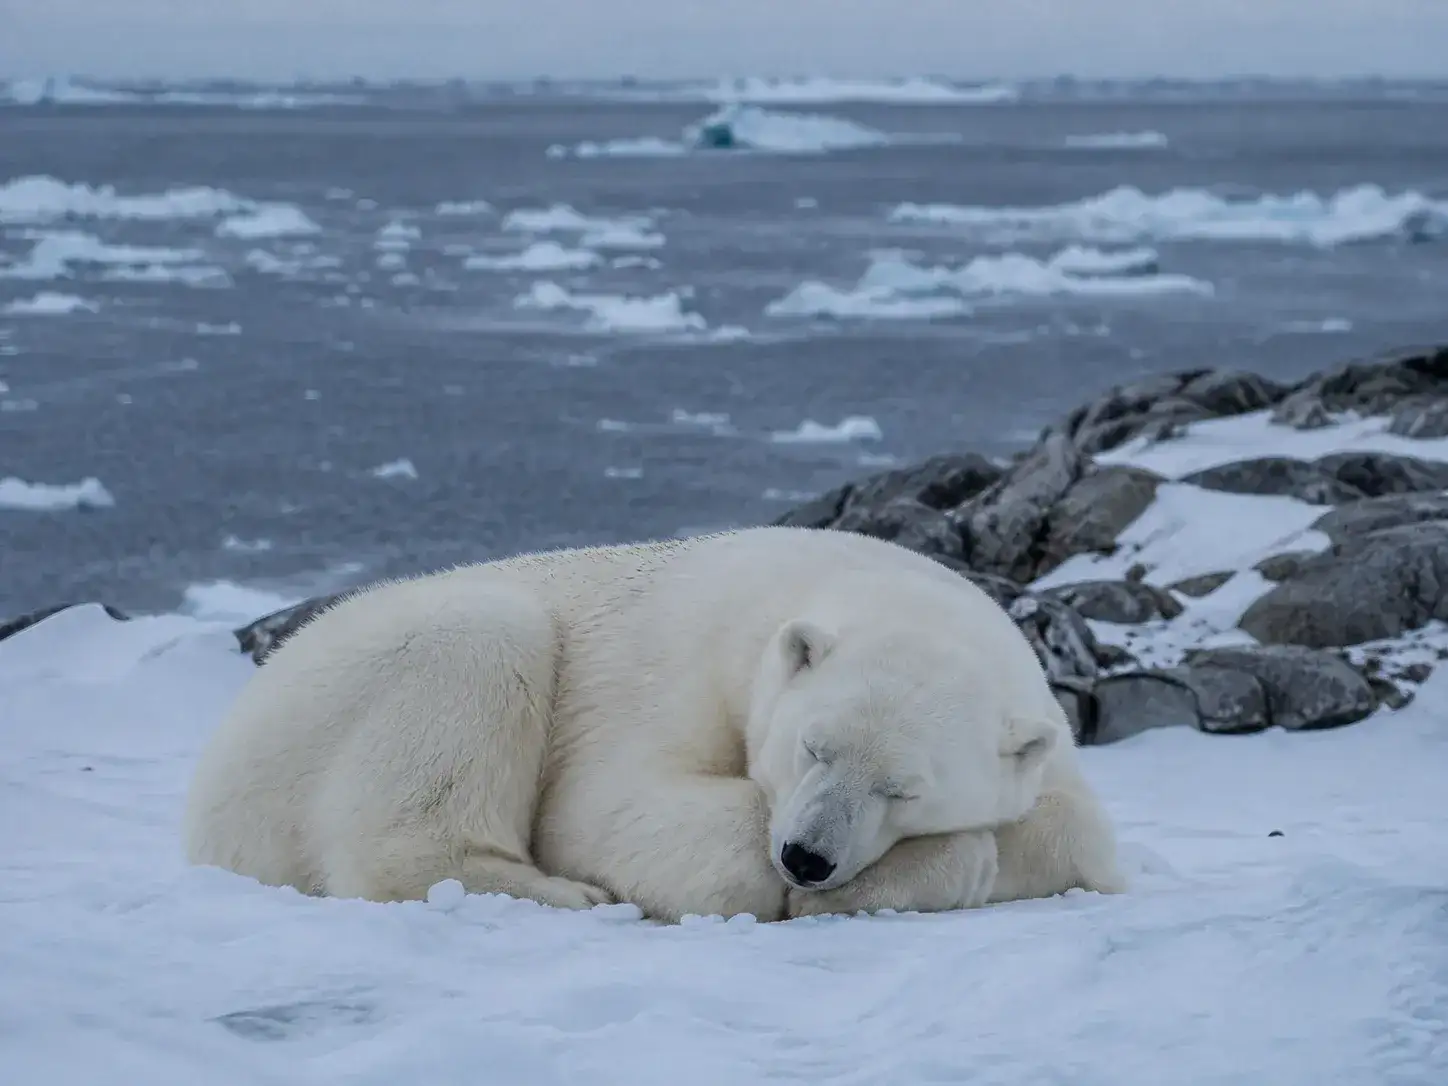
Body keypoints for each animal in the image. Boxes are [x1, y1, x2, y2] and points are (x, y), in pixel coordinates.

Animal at [183, 526, 1124, 923]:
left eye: (905, 790)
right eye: (811, 746)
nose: (807, 857)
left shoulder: (1043, 727)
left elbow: (1078, 831)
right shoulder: (678, 666)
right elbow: (609, 808)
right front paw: (777, 889)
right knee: (476, 652)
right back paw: (572, 894)